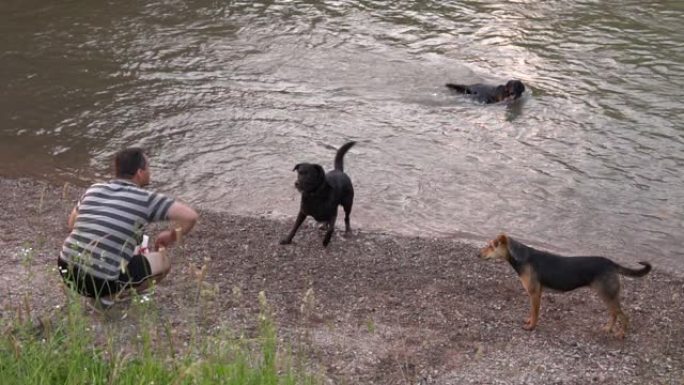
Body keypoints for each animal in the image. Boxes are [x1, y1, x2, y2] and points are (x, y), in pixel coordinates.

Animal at [478, 231, 648, 336]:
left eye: (492, 246)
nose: (478, 254)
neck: (522, 258)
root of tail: (611, 264)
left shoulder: (534, 292)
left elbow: (535, 313)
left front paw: (531, 327)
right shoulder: (537, 293)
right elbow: (532, 312)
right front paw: (529, 321)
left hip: (608, 294)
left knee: (624, 317)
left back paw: (621, 334)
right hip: (607, 295)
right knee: (614, 314)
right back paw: (607, 329)